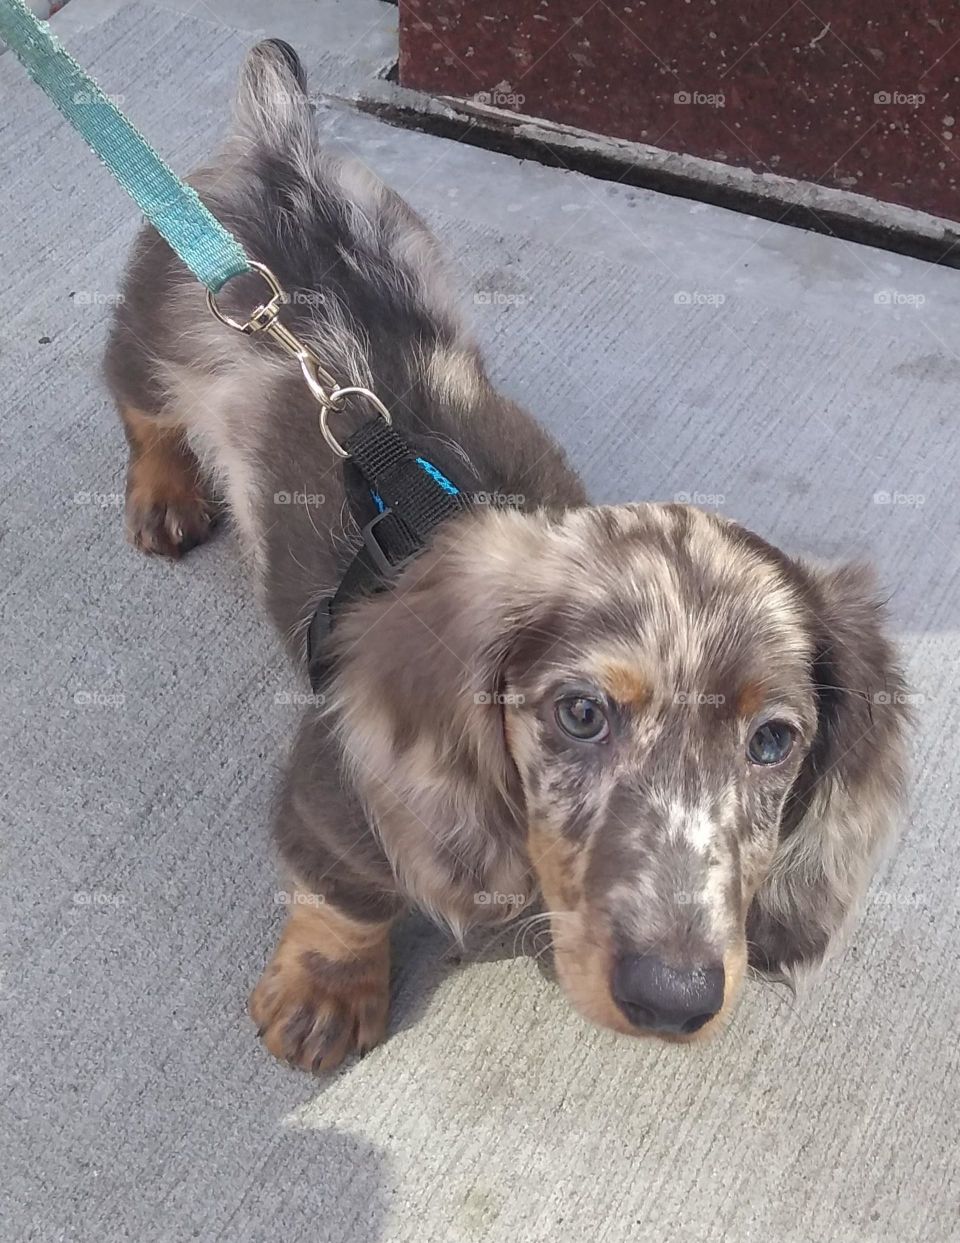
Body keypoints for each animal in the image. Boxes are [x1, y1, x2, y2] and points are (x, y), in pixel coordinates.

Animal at [105, 38, 905, 1068]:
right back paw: (165, 491)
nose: (675, 998)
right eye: (580, 713)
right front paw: (324, 994)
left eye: (774, 740)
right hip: (147, 334)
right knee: (143, 410)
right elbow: (344, 899)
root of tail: (279, 151)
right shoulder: (330, 800)